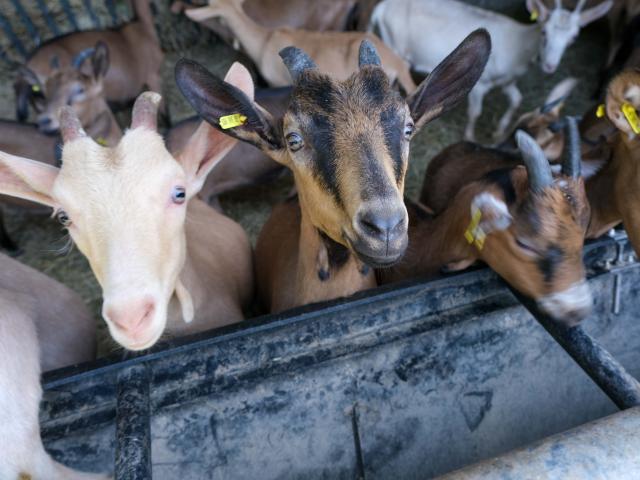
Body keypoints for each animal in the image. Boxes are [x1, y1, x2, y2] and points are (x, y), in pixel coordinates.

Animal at [368, 0, 612, 141]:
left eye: (574, 37)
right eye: (545, 32)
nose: (550, 66)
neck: (519, 46)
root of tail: (381, 7)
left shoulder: (508, 81)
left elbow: (516, 99)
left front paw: (499, 131)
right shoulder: (482, 84)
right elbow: (475, 112)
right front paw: (470, 137)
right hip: (396, 45)